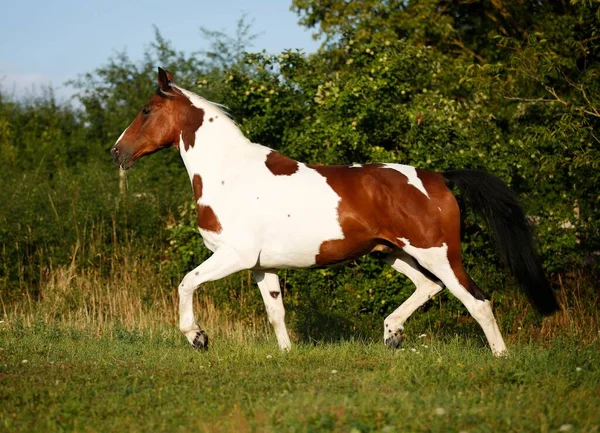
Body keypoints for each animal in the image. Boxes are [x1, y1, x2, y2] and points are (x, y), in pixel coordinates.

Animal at [110, 66, 560, 354]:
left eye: (146, 111)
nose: (117, 152)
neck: (229, 174)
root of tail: (438, 177)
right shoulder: (261, 266)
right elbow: (275, 312)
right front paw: (287, 355)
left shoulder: (233, 256)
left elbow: (187, 283)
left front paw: (198, 338)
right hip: (394, 253)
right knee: (428, 288)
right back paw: (392, 334)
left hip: (438, 253)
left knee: (477, 301)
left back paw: (500, 357)